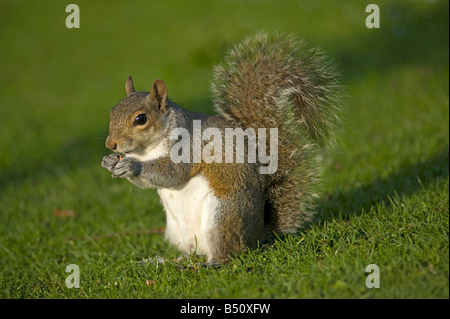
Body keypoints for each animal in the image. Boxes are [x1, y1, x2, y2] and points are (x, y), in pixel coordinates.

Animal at [101, 32, 342, 264]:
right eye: (112, 111)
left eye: (141, 119)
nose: (110, 144)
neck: (148, 150)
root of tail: (257, 235)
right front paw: (110, 162)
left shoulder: (188, 147)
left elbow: (173, 173)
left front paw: (132, 166)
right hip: (177, 231)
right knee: (190, 253)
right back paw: (163, 261)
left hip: (221, 217)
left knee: (228, 252)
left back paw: (212, 262)